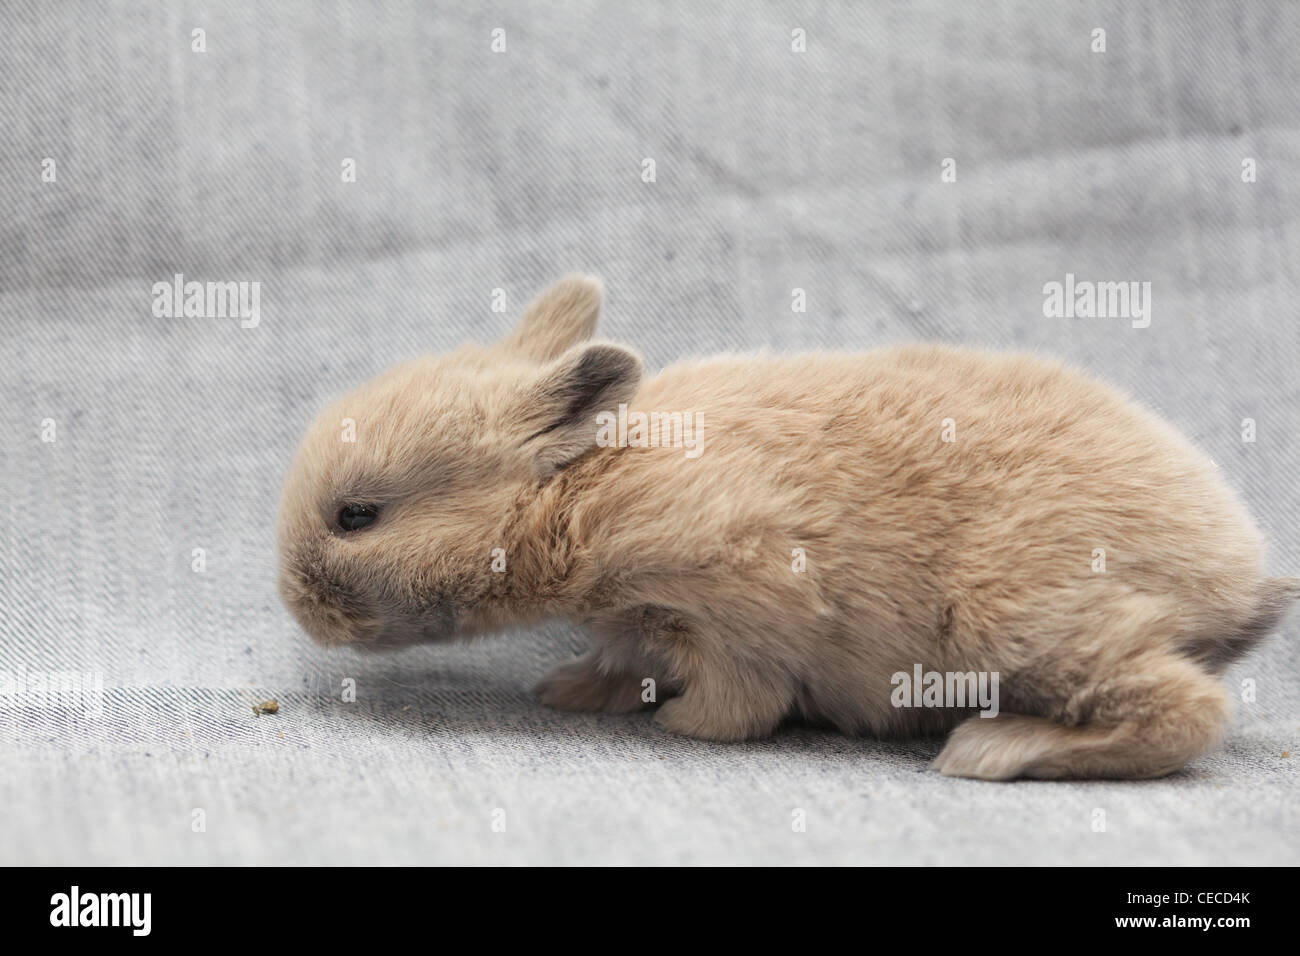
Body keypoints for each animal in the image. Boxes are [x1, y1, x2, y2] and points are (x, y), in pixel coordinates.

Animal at [279, 273, 1294, 780]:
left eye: (357, 515)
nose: (297, 607)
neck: (579, 489)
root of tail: (1238, 573)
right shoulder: (639, 618)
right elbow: (620, 656)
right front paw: (572, 692)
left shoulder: (742, 594)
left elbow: (745, 699)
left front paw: (682, 726)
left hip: (1021, 621)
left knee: (1185, 713)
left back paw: (995, 751)